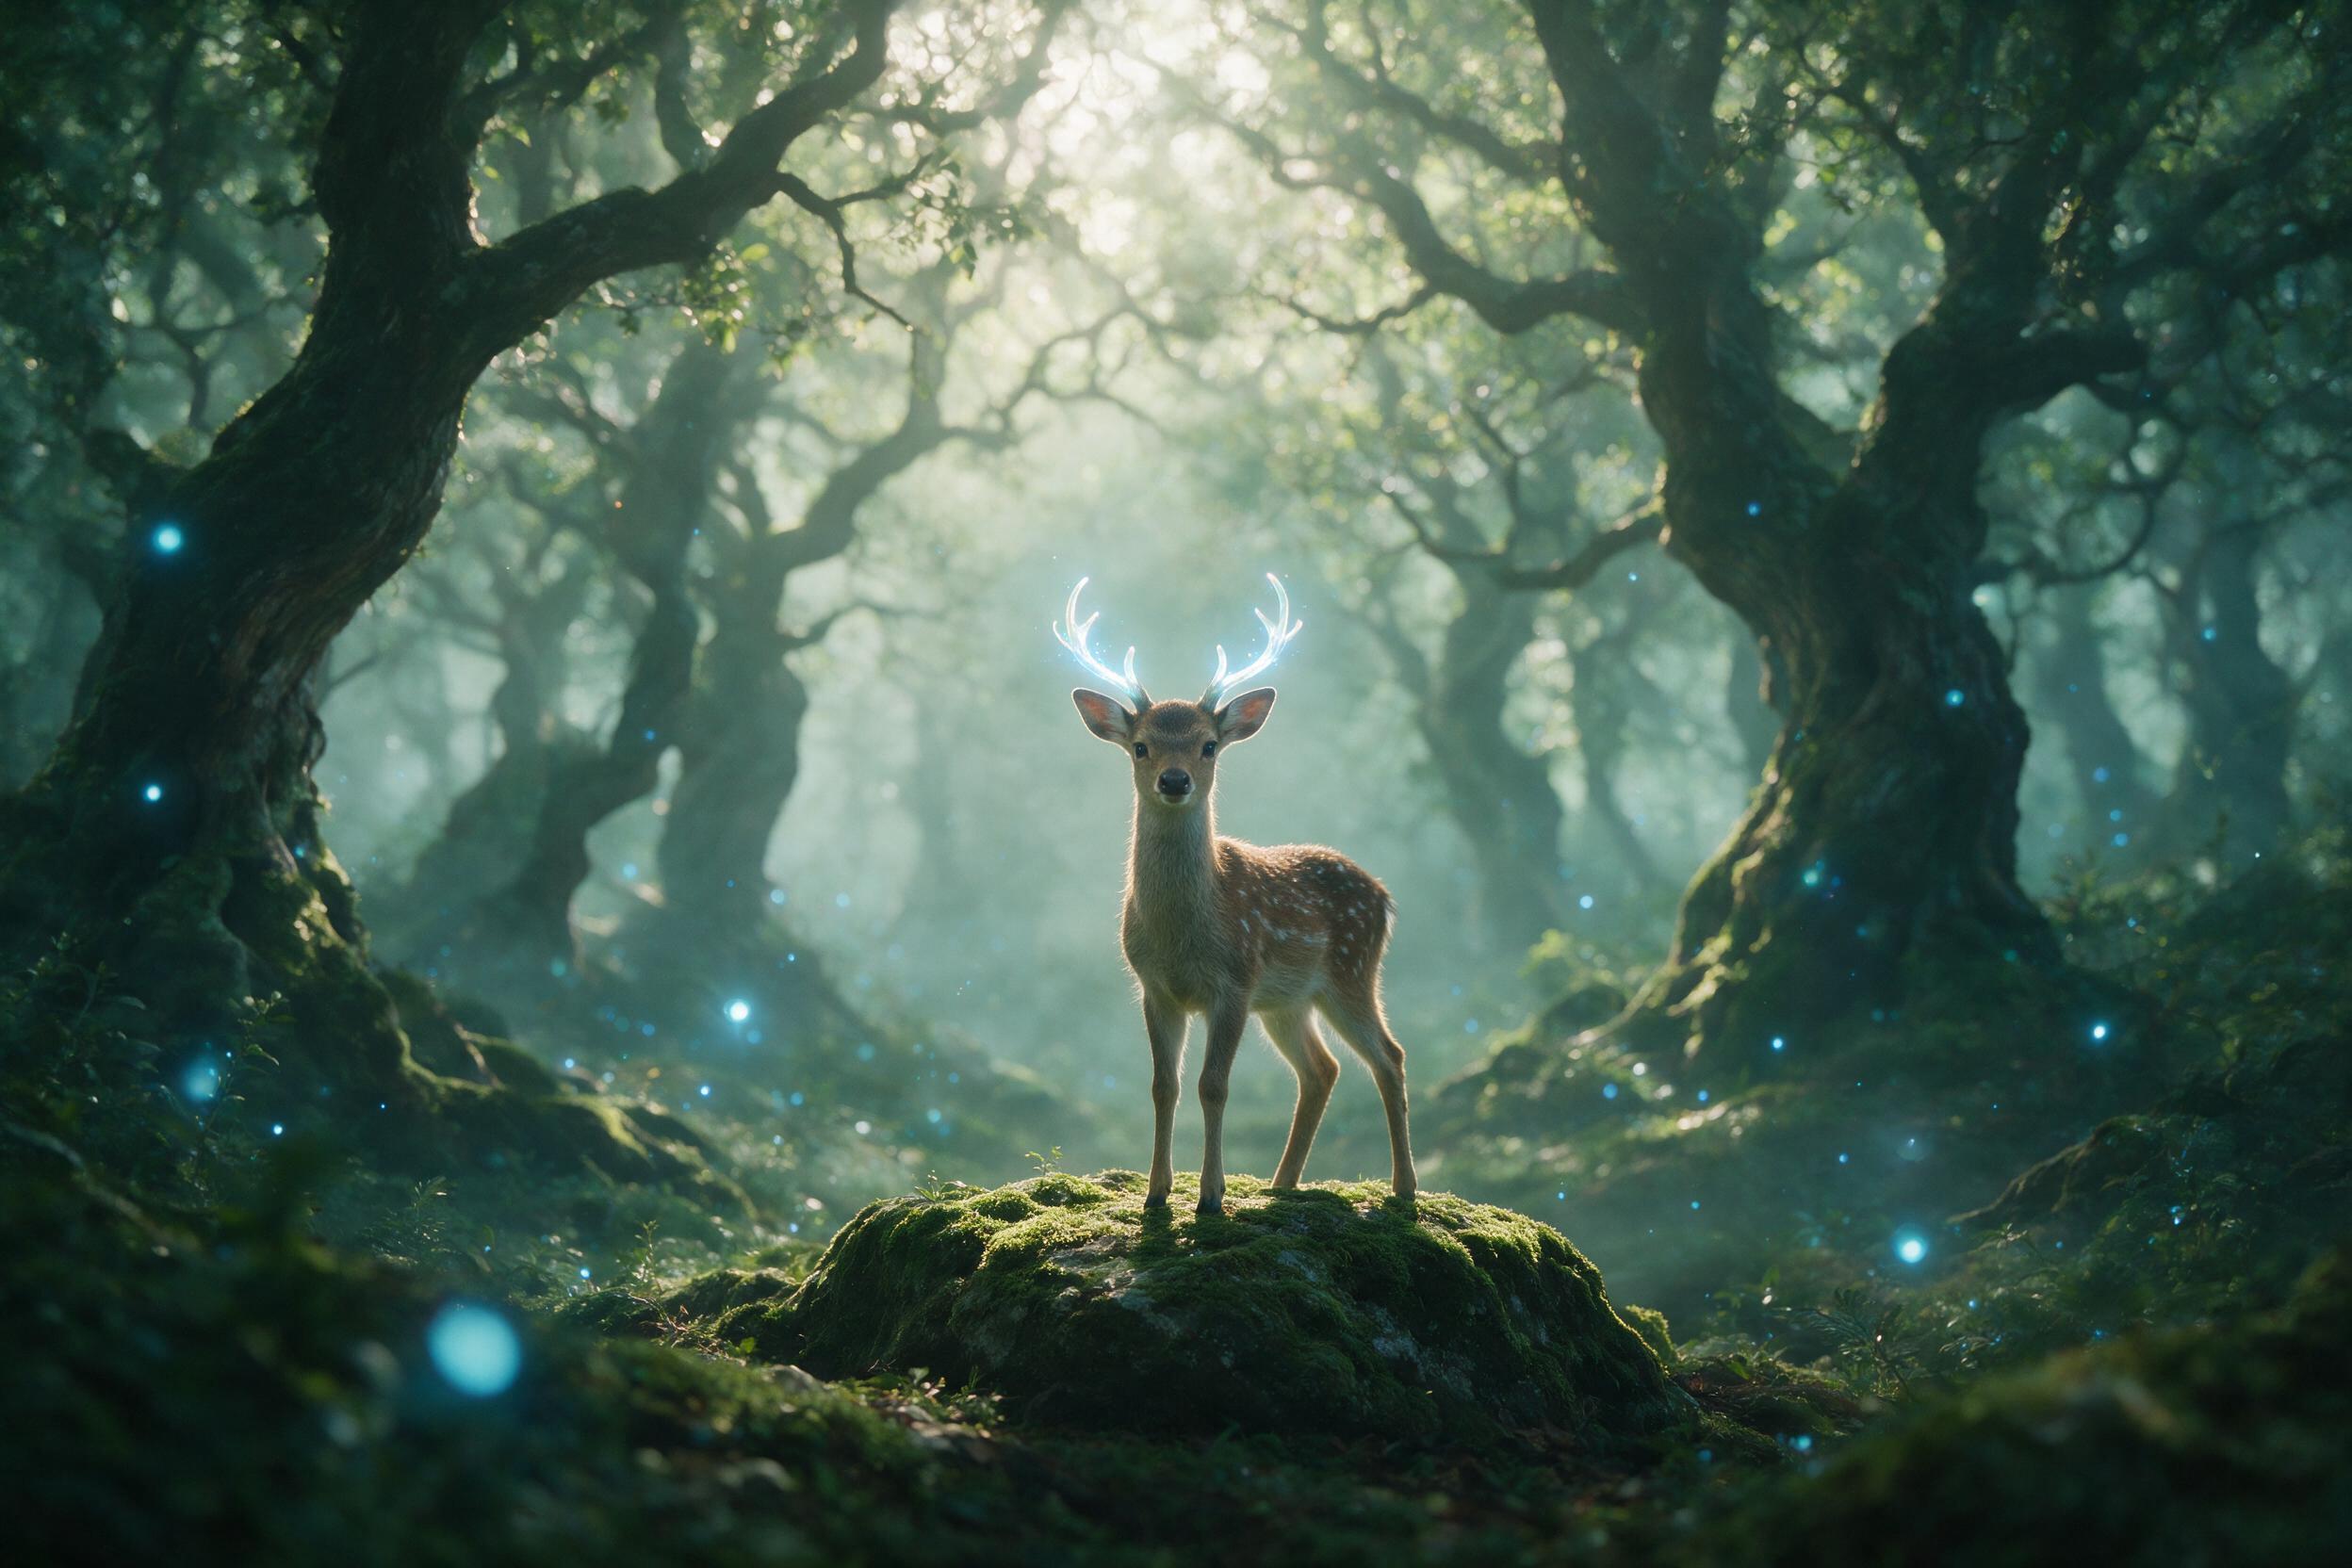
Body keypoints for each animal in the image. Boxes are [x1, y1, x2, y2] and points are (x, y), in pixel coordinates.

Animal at [1056, 573, 1416, 1216]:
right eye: (1141, 746)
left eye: (1208, 745)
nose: (1175, 780)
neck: (1184, 933)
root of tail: (1384, 895)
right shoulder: (1155, 987)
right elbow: (1163, 1086)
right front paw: (1156, 1194)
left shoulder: (1235, 982)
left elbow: (1214, 1086)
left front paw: (1210, 1196)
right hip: (1289, 1000)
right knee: (1322, 1069)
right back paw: (1282, 1183)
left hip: (1350, 971)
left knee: (1389, 1056)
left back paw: (1403, 1188)